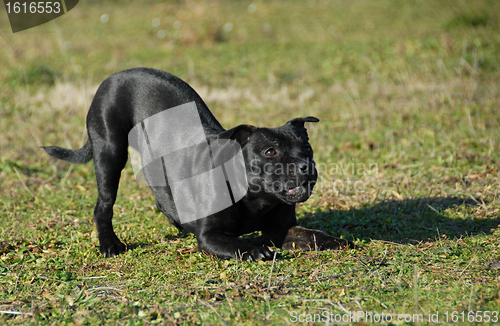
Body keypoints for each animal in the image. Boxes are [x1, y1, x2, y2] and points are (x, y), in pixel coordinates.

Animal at [45, 68, 354, 260]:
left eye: (307, 149)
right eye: (270, 151)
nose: (305, 166)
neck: (255, 198)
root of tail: (115, 76)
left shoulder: (281, 229)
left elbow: (311, 235)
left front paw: (333, 240)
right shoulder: (210, 236)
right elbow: (236, 243)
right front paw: (252, 249)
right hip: (110, 153)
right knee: (104, 206)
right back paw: (110, 244)